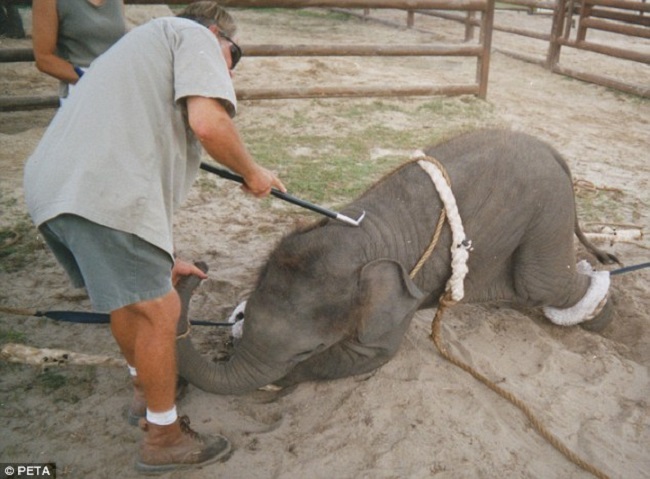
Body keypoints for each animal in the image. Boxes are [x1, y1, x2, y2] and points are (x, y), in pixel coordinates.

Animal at [175, 127, 616, 394]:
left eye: (307, 350)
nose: (199, 267)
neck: (362, 236)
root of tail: (553, 151)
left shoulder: (398, 301)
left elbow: (370, 355)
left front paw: (280, 383)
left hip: (546, 210)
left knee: (543, 283)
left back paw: (602, 316)